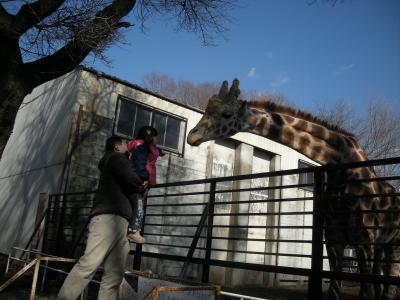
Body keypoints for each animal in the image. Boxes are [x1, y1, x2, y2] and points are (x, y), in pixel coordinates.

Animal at [187, 78, 400, 298]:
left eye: (227, 114)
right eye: (206, 110)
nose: (191, 137)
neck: (342, 165)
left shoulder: (364, 240)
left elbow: (367, 292)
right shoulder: (334, 240)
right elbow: (335, 289)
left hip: (393, 244)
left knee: (389, 284)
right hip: (381, 245)